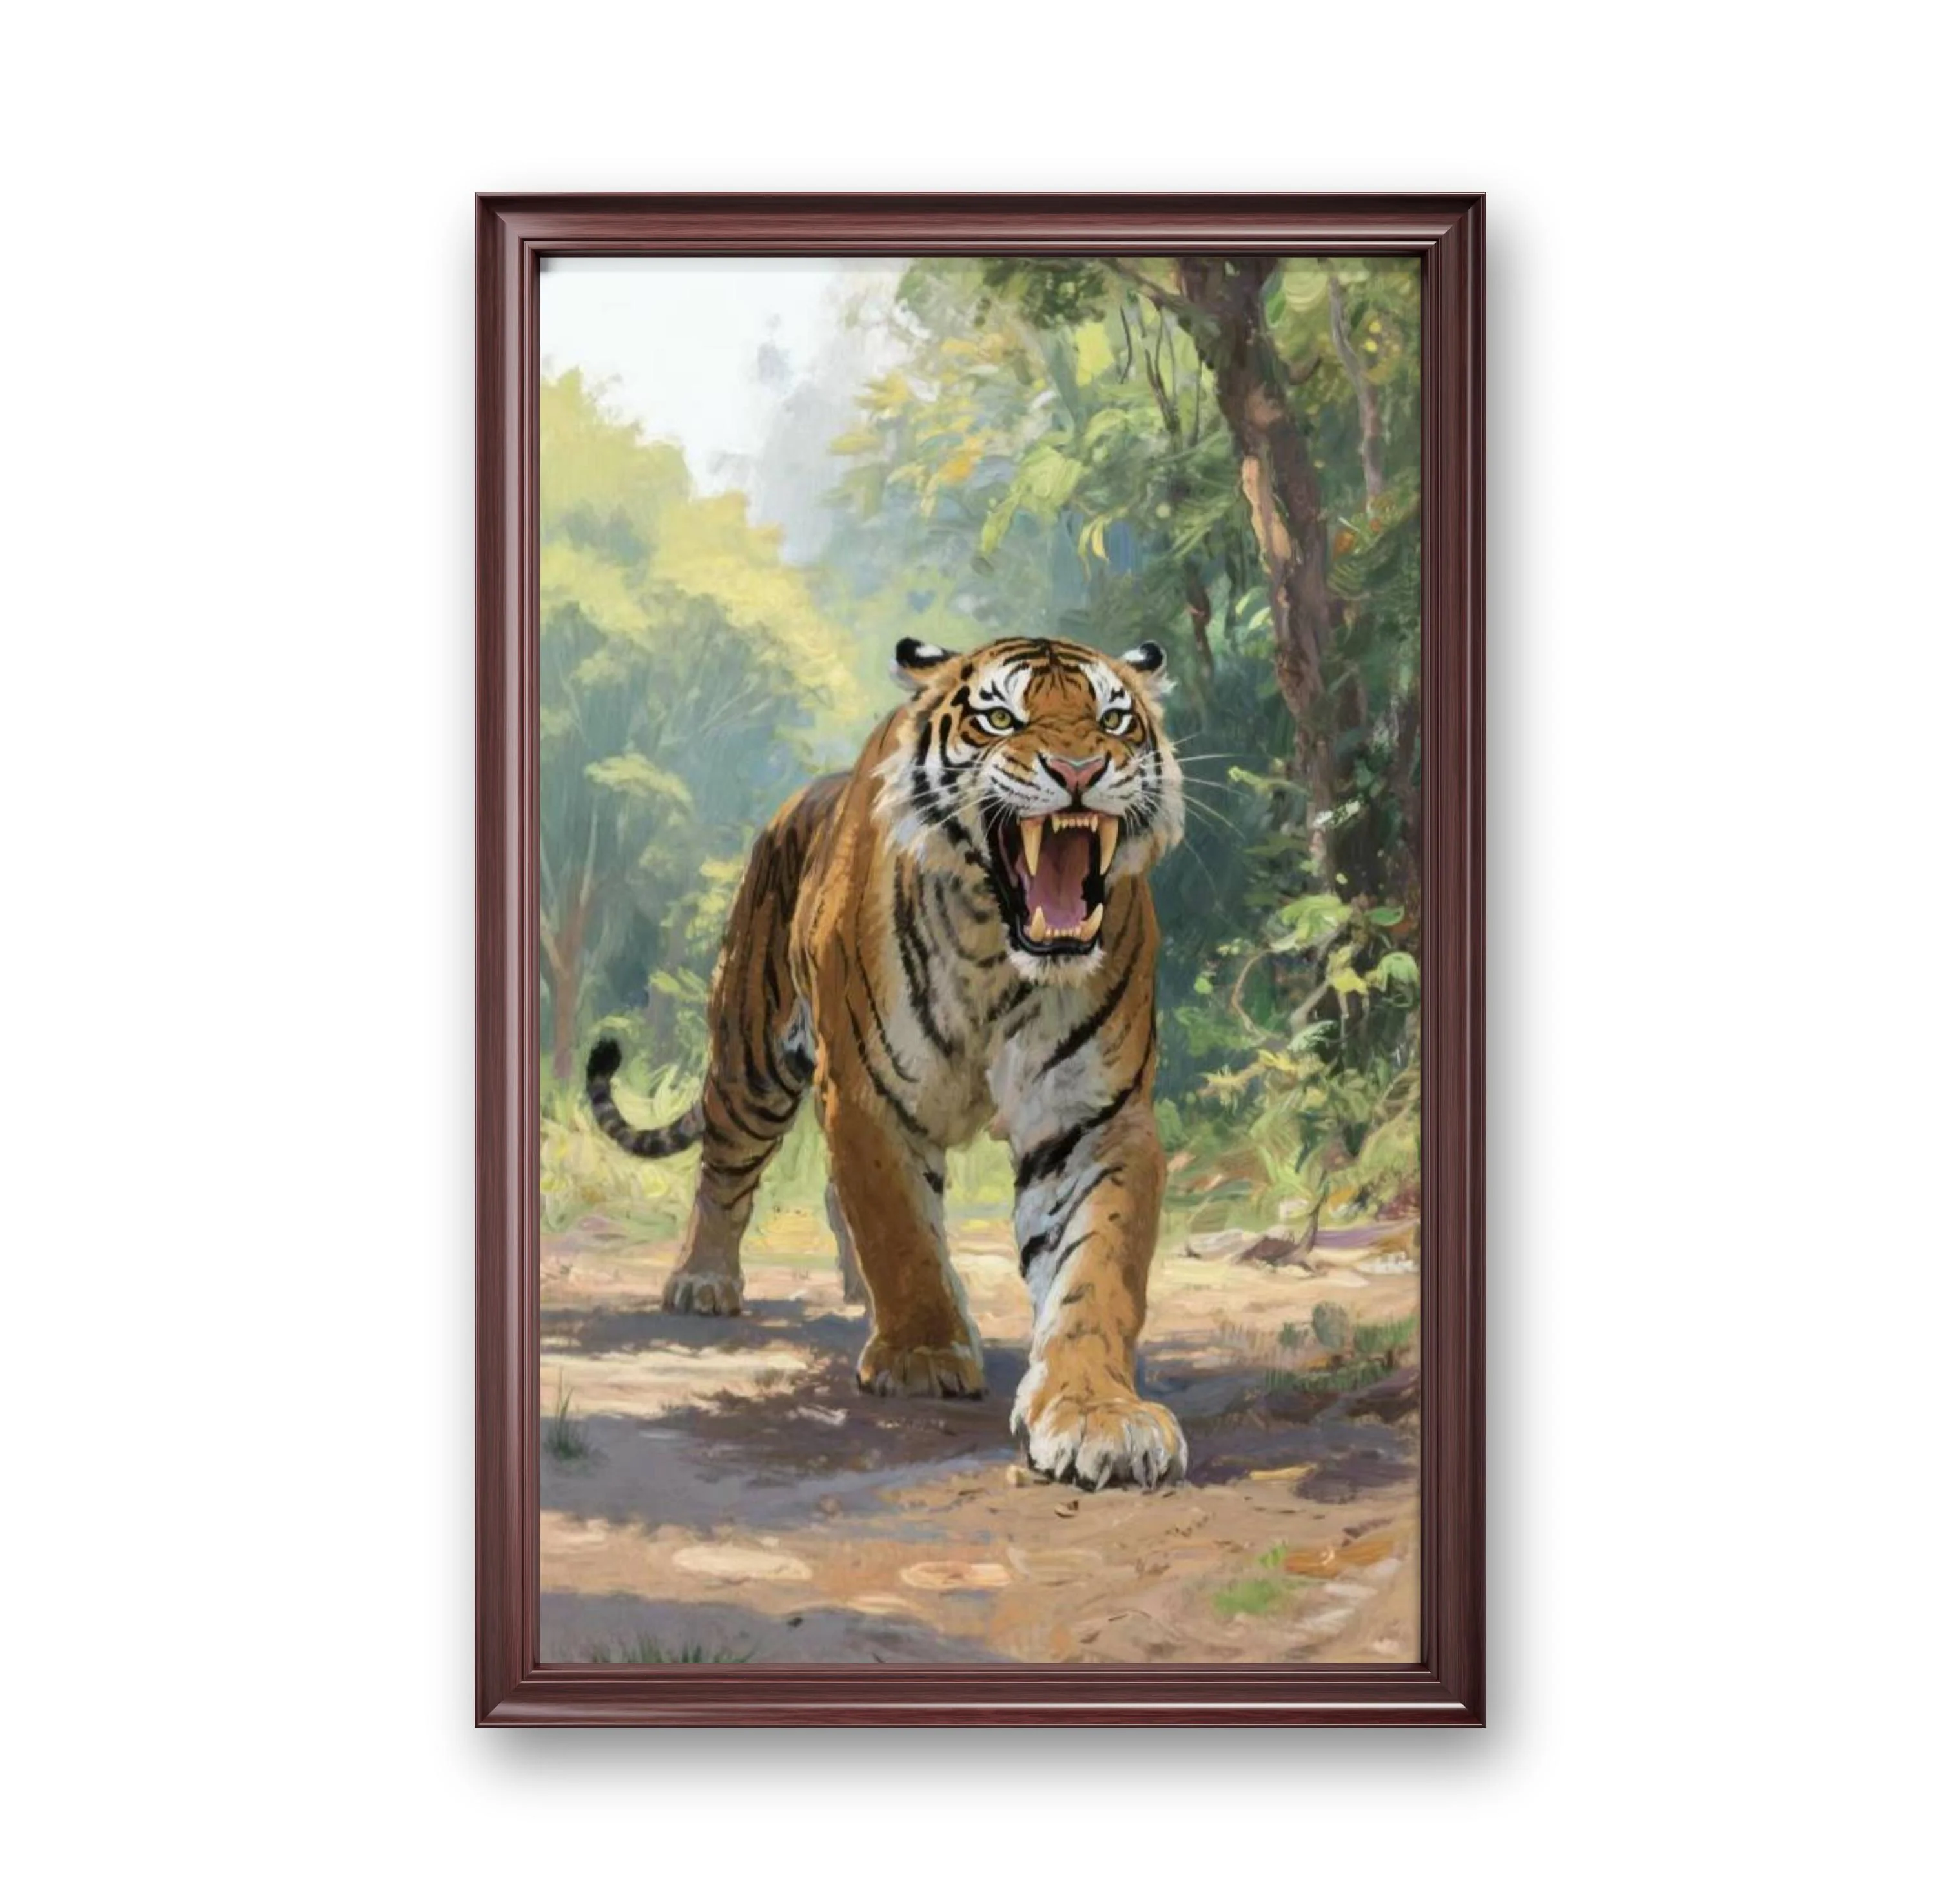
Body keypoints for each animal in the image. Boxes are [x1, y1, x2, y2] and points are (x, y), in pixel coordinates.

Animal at [586, 635, 1187, 1488]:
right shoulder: (868, 1098)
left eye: (1113, 719)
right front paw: (922, 1356)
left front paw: (1099, 1417)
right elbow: (899, 1229)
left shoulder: (1094, 1119)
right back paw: (704, 1281)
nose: (1079, 770)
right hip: (751, 1061)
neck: (996, 951)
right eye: (1001, 718)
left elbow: (1097, 1270)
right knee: (724, 1173)